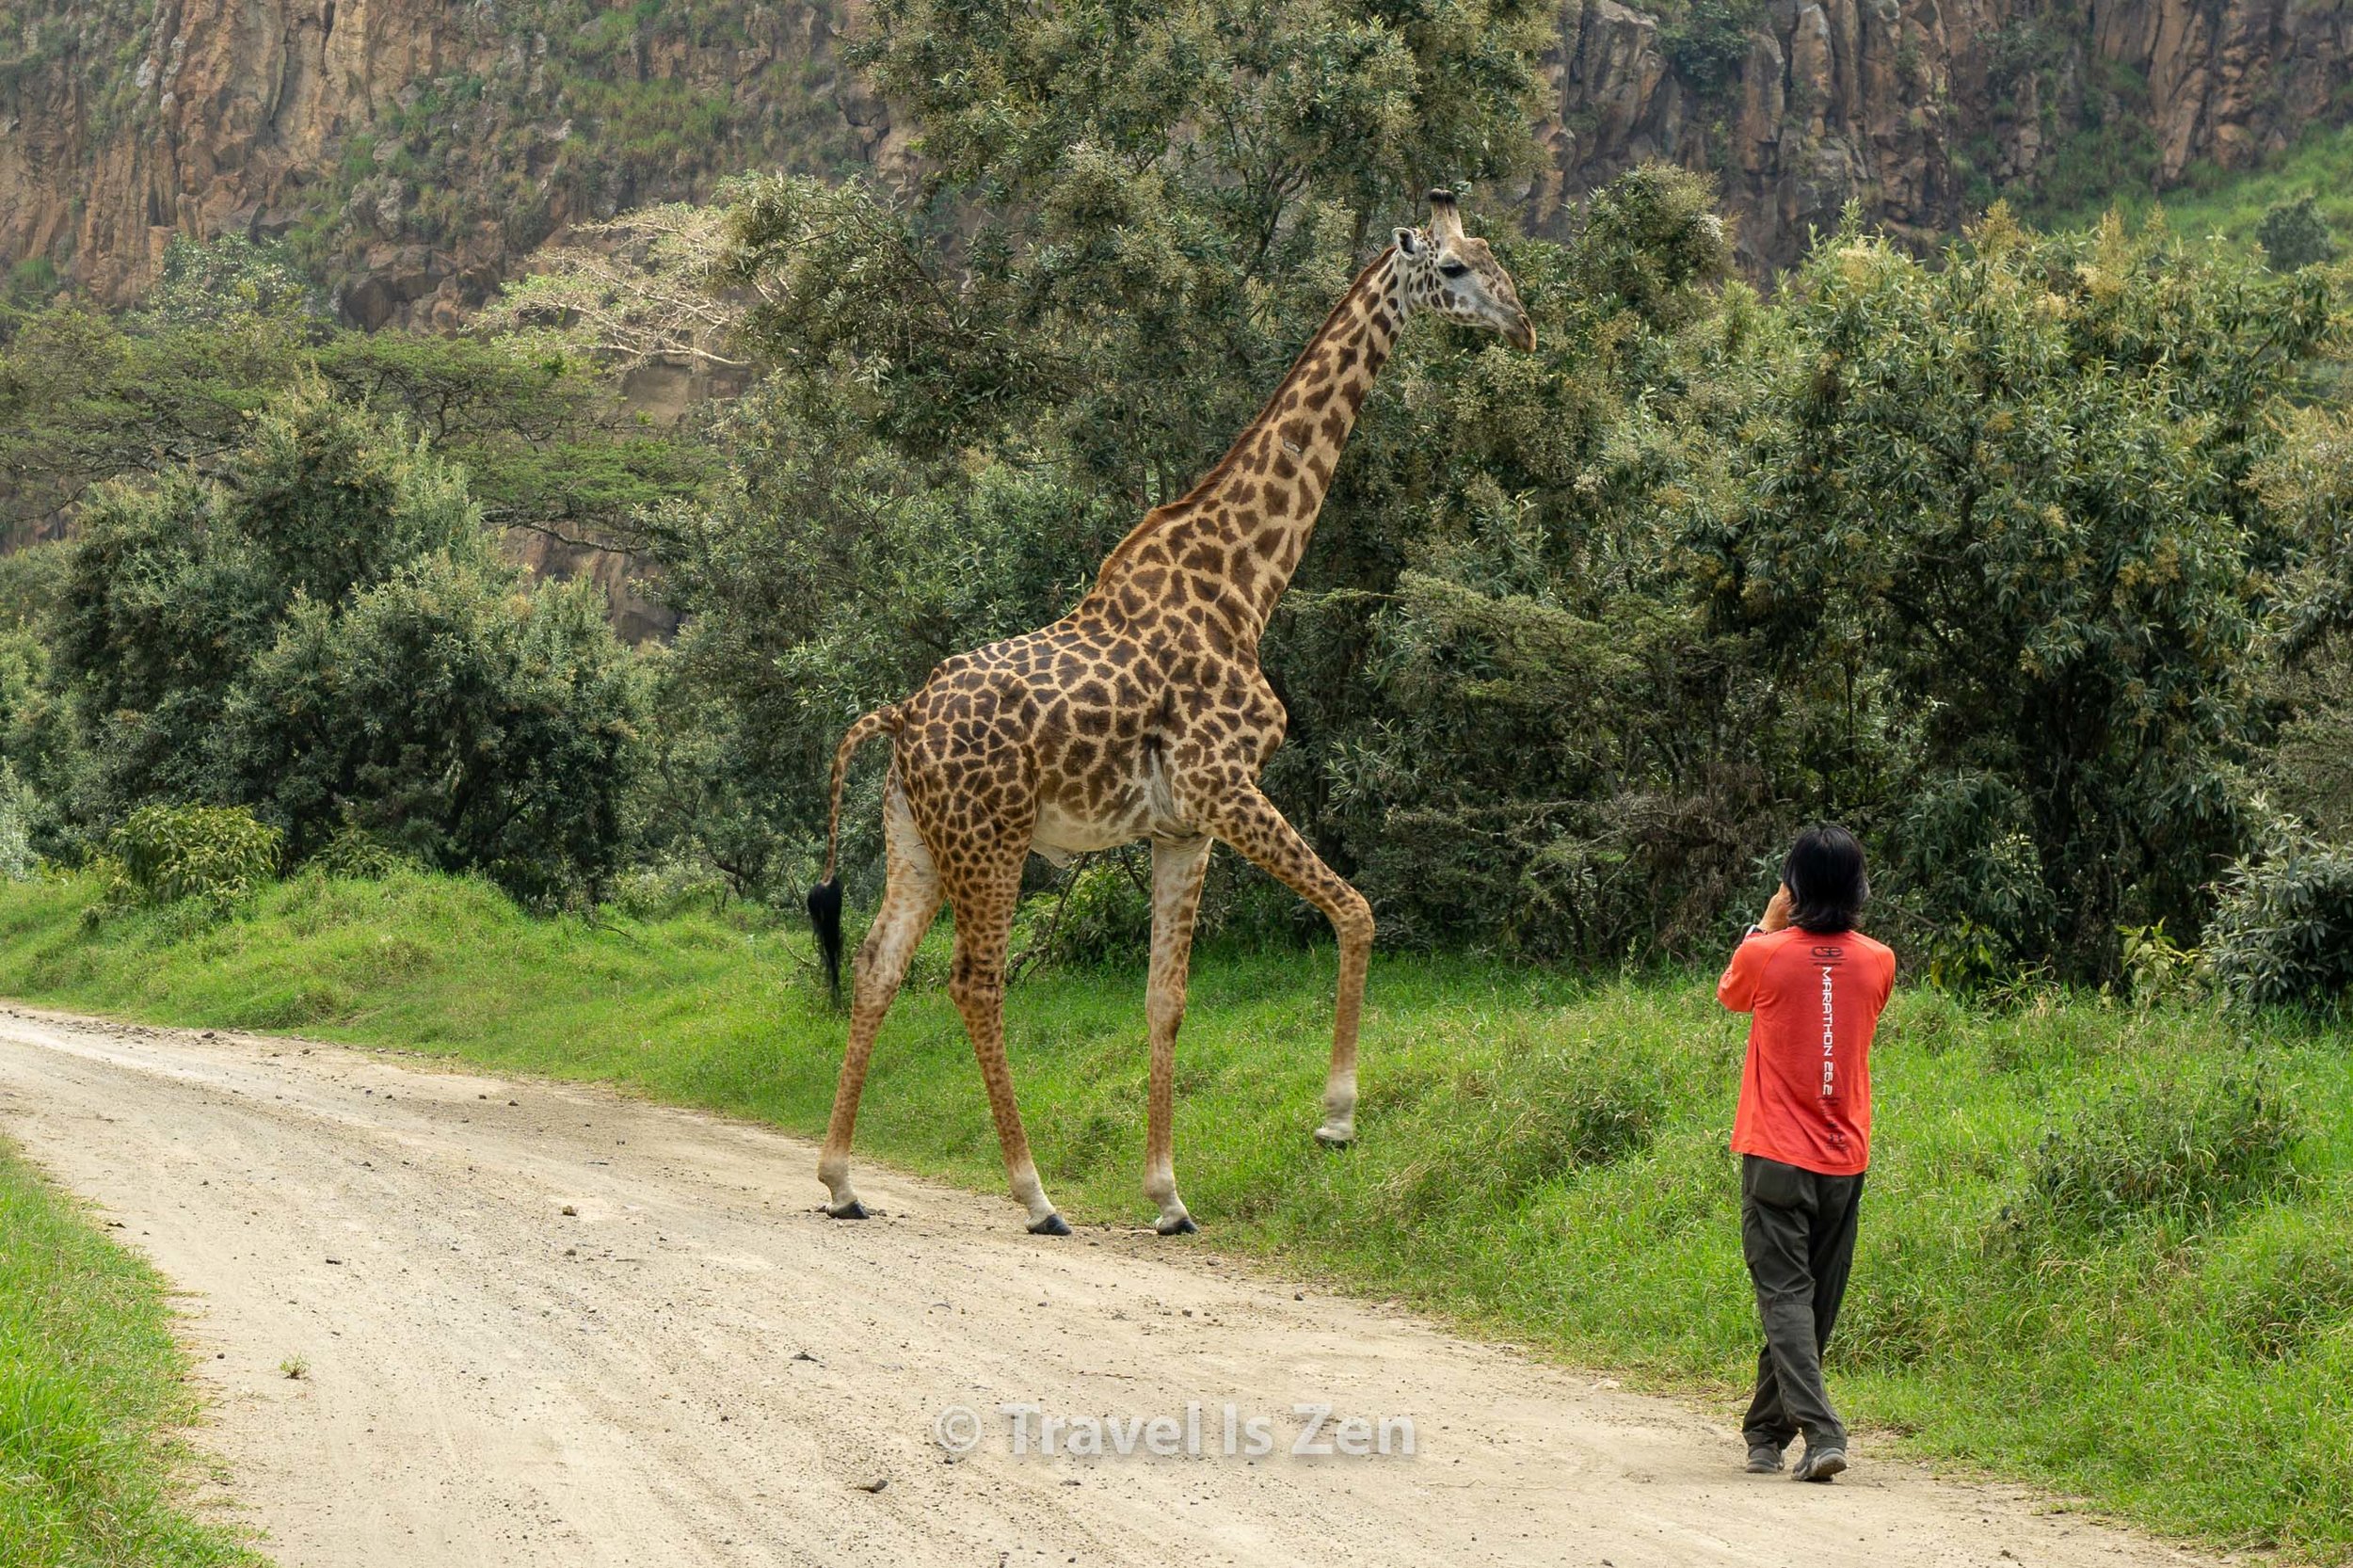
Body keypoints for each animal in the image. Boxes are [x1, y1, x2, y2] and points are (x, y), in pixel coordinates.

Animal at [809, 185, 1544, 1233]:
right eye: (1452, 269)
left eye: (1494, 257)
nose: (1522, 326)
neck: (1246, 582)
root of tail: (901, 719)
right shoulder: (1224, 783)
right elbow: (1358, 910)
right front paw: (1336, 1121)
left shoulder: (1180, 826)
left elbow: (1167, 999)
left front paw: (1167, 1195)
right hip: (992, 840)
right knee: (975, 982)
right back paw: (1035, 1195)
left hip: (916, 837)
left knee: (876, 966)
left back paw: (841, 1179)